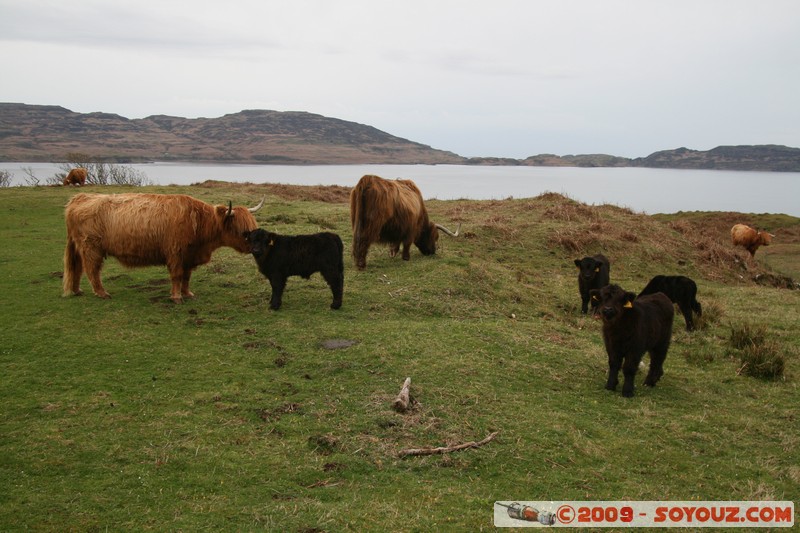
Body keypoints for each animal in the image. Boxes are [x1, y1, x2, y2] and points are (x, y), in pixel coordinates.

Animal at [63, 193, 264, 303]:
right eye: (242, 231)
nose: (256, 249)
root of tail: (79, 198)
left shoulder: (189, 256)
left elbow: (186, 277)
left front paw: (188, 293)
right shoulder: (175, 253)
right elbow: (176, 276)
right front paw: (176, 297)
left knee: (77, 268)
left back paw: (77, 290)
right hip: (91, 248)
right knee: (92, 270)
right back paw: (102, 293)